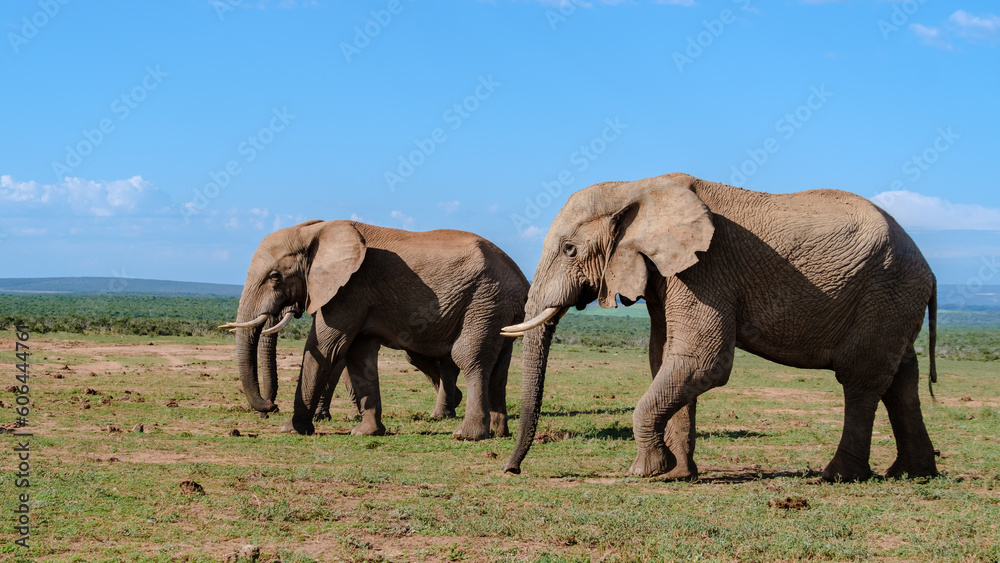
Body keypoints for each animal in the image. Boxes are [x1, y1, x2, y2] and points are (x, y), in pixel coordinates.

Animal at [222, 220, 528, 440]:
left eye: (275, 277)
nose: (269, 408)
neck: (315, 230)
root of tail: (522, 279)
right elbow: (359, 356)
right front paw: (365, 432)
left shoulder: (349, 289)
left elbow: (325, 348)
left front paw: (291, 429)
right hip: (498, 309)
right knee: (499, 366)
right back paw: (499, 432)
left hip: (485, 300)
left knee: (470, 357)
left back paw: (468, 435)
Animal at [504, 174, 940, 482]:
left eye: (569, 250)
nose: (512, 470)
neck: (637, 187)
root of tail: (931, 272)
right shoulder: (669, 272)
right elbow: (666, 358)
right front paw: (677, 475)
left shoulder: (706, 268)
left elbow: (702, 360)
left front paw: (645, 471)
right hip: (895, 301)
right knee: (901, 380)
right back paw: (912, 474)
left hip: (886, 292)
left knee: (861, 379)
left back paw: (837, 476)